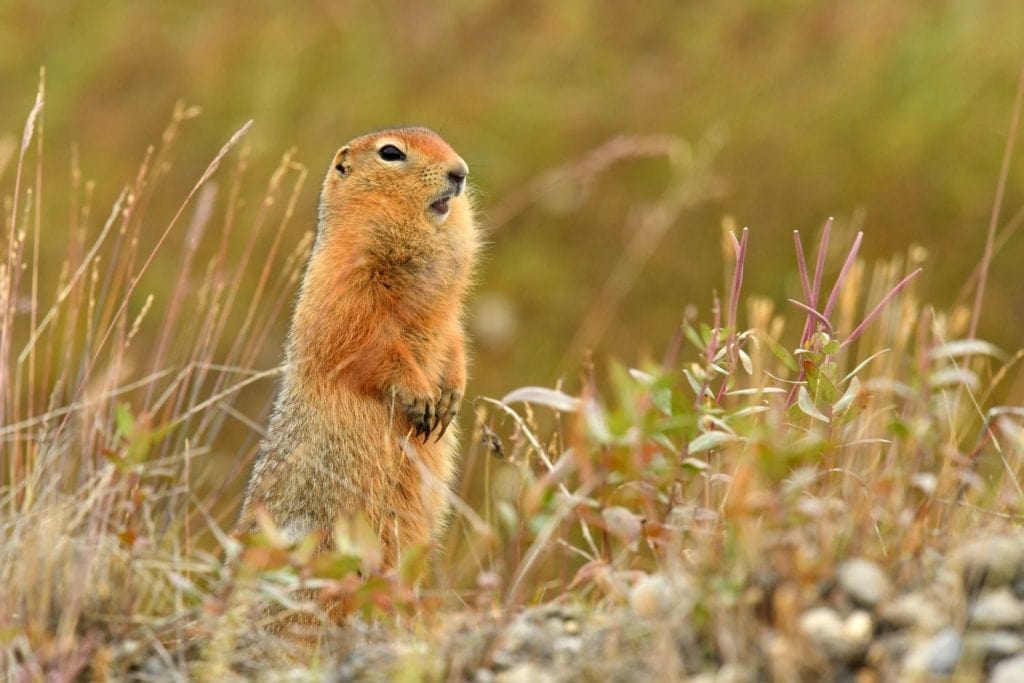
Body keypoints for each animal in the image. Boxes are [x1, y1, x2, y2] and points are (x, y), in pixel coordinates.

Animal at [238, 126, 477, 571]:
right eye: (391, 153)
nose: (461, 172)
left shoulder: (448, 317)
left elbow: (455, 341)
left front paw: (451, 395)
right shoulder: (346, 293)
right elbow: (370, 345)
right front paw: (420, 397)